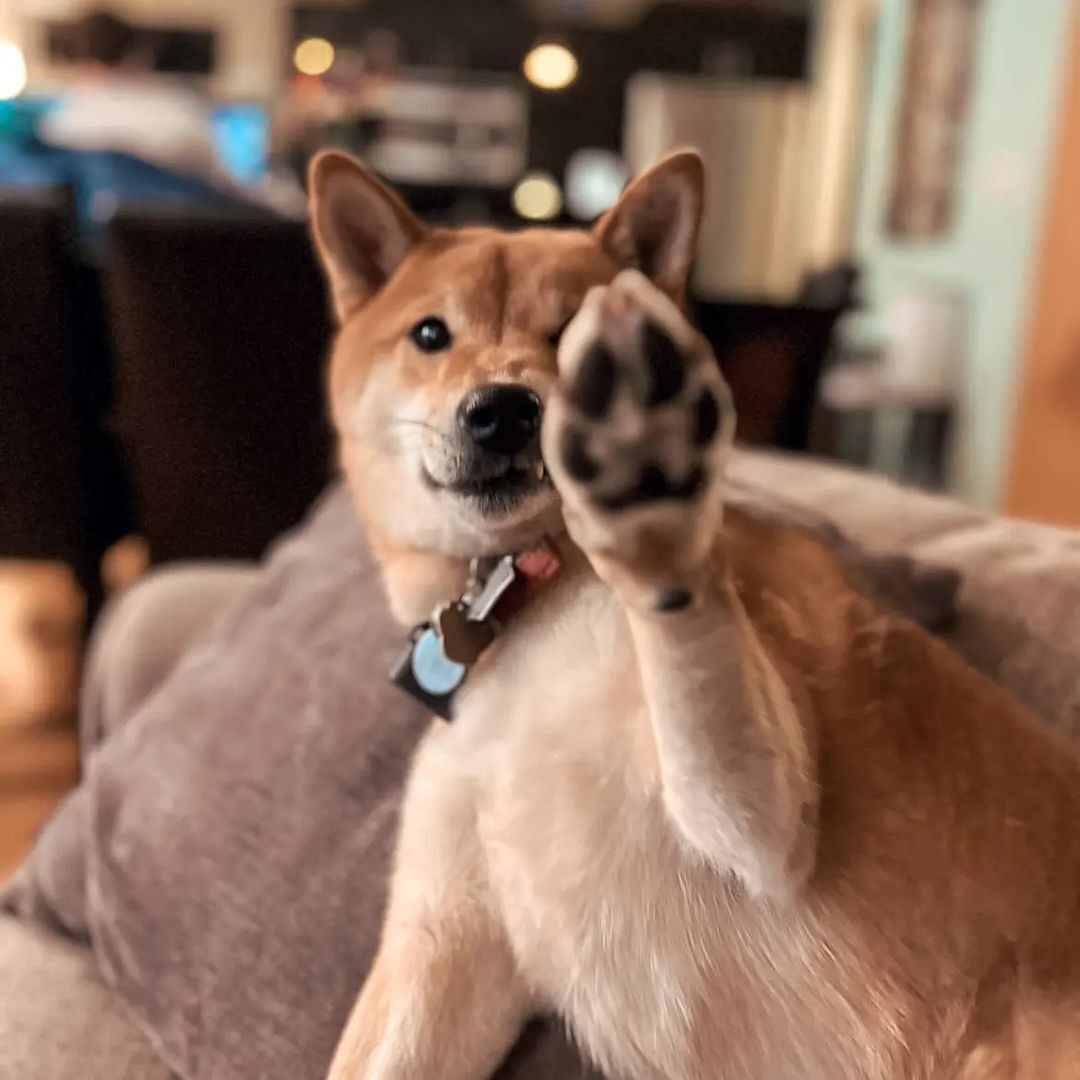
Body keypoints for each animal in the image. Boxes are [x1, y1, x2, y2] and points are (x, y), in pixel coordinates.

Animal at [306, 147, 1080, 1075]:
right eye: (430, 335)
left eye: (574, 333)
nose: (500, 411)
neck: (537, 596)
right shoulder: (444, 939)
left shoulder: (764, 822)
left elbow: (692, 661)